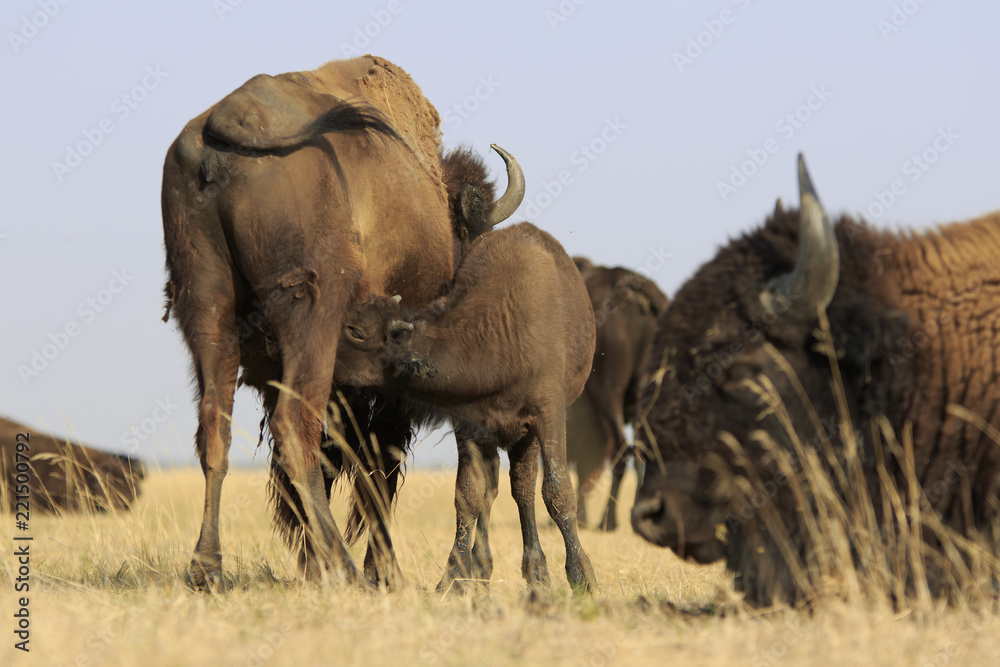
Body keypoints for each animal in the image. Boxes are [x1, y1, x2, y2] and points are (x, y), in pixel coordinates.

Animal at [162, 56, 524, 588]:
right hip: (311, 314)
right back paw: (345, 567)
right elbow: (379, 469)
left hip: (206, 310)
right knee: (297, 429)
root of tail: (230, 121)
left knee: (216, 428)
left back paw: (208, 570)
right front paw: (382, 572)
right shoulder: (388, 389)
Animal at [336, 222, 600, 592]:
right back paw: (488, 567)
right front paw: (455, 577)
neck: (499, 332)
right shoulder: (469, 425)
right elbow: (470, 494)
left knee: (524, 489)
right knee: (500, 490)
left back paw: (536, 572)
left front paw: (581, 576)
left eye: (355, 331)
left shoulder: (548, 415)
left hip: (526, 437)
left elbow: (557, 491)